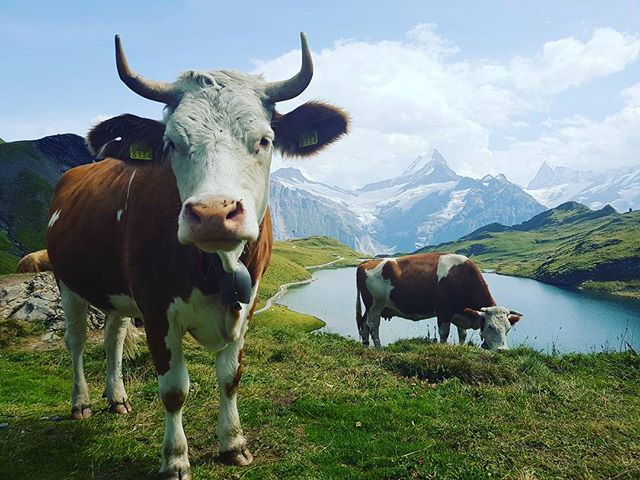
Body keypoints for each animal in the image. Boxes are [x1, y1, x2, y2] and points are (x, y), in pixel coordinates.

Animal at [46, 33, 349, 479]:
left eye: (264, 140)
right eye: (172, 142)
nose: (212, 214)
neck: (215, 266)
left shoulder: (247, 305)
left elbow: (230, 378)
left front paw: (234, 444)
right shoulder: (157, 309)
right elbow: (174, 389)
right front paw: (174, 458)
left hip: (118, 293)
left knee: (114, 336)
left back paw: (116, 398)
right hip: (68, 282)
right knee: (78, 340)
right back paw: (80, 402)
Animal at [355, 253, 522, 350]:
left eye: (508, 329)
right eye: (489, 326)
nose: (502, 350)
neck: (461, 277)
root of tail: (365, 263)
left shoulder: (460, 312)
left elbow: (462, 334)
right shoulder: (444, 311)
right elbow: (444, 334)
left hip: (371, 308)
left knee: (363, 324)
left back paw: (366, 347)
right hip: (375, 305)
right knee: (373, 326)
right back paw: (379, 349)